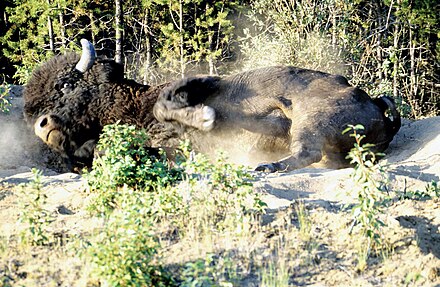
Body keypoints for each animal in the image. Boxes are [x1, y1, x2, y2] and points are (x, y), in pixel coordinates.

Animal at [24, 39, 402, 172]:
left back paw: (265, 166)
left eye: (67, 85)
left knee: (306, 150)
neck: (135, 103)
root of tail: (375, 104)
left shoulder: (200, 82)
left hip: (312, 118)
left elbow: (170, 105)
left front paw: (206, 118)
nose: (42, 126)